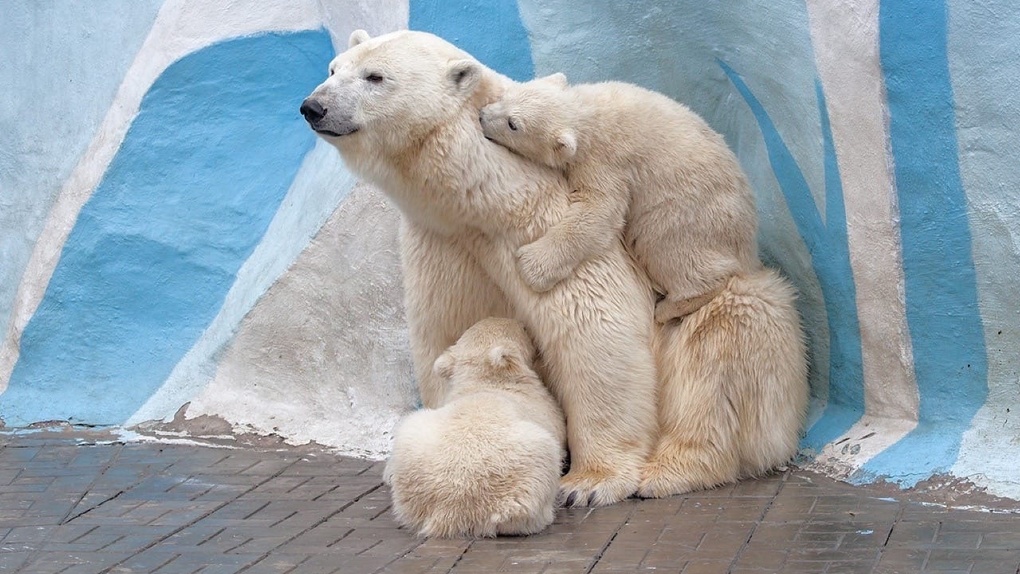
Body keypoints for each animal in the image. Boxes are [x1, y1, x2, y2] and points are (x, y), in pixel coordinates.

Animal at [297, 31, 656, 507]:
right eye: (334, 68)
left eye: (375, 76)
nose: (313, 107)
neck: (482, 199)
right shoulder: (445, 246)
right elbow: (451, 332)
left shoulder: (539, 223)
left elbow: (594, 328)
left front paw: (589, 482)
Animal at [383, 318, 563, 538]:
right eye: (521, 329)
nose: (523, 323)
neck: (485, 380)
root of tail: (452, 508)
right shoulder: (545, 408)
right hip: (527, 473)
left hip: (412, 449)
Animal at [481, 73, 762, 324]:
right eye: (506, 96)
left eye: (513, 124)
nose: (482, 116)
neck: (587, 111)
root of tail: (748, 240)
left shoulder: (605, 160)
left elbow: (600, 210)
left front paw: (531, 265)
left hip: (690, 217)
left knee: (671, 250)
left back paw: (667, 308)